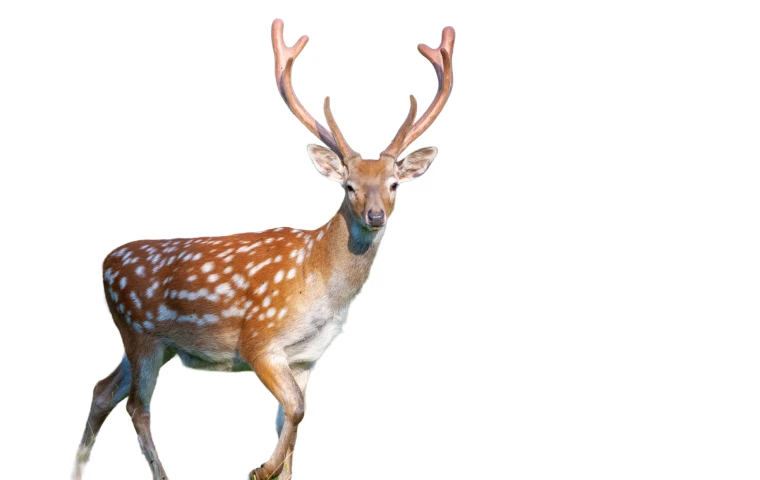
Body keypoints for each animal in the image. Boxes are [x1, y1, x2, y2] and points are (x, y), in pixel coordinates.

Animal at [73, 18, 454, 480]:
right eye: (349, 187)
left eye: (394, 184)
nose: (376, 214)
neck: (320, 284)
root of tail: (105, 260)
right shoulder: (260, 340)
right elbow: (296, 410)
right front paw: (259, 468)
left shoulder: (307, 358)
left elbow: (292, 420)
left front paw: (273, 467)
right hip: (140, 332)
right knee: (137, 406)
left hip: (154, 344)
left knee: (101, 390)